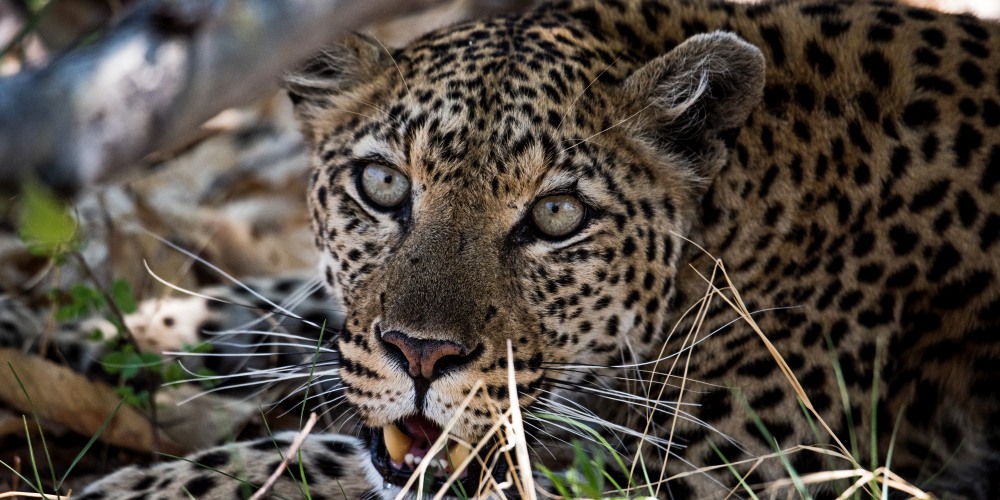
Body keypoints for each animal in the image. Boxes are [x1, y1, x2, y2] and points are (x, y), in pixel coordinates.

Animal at [44, 0, 1000, 498]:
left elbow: (298, 457)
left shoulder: (722, 474)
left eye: (557, 215)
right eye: (382, 185)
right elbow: (277, 308)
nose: (421, 355)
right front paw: (75, 332)